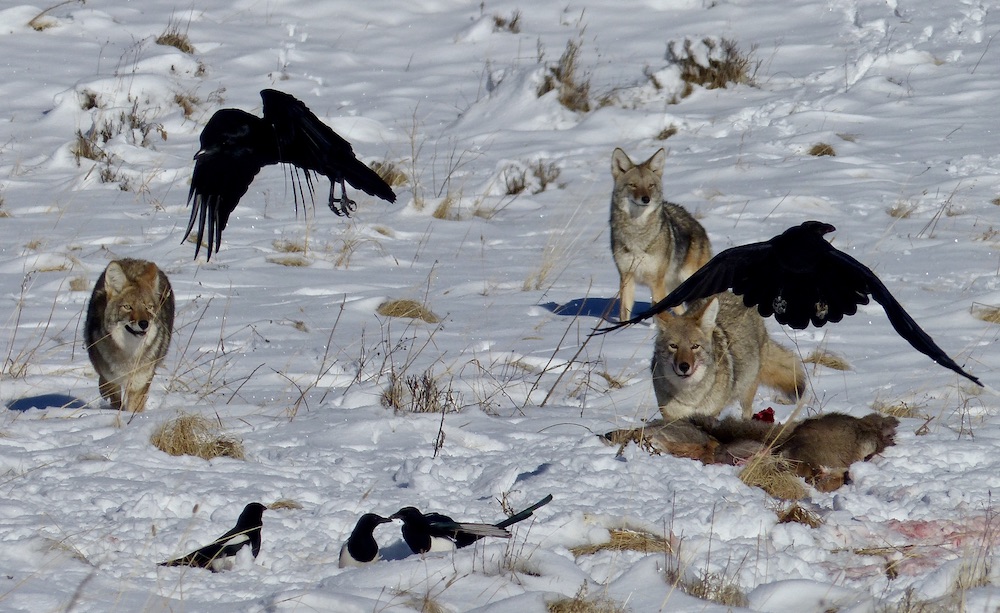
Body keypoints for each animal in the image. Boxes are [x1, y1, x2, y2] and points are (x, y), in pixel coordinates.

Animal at [84, 259, 175, 413]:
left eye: (148, 307)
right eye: (128, 307)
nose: (144, 323)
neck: (129, 353)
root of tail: (136, 260)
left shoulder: (138, 384)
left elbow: (133, 408)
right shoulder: (112, 380)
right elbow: (113, 396)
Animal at [609, 147, 712, 321]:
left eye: (650, 185)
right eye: (633, 185)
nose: (646, 199)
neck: (637, 233)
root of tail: (698, 225)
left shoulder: (656, 282)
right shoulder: (626, 278)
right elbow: (625, 313)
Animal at [650, 292, 805, 421]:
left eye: (695, 346)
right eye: (673, 346)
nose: (684, 366)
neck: (690, 396)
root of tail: (734, 294)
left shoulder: (710, 415)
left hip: (746, 392)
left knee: (748, 413)